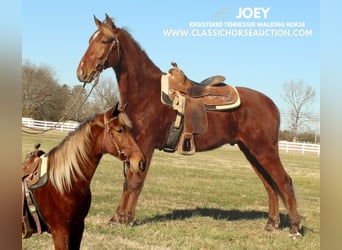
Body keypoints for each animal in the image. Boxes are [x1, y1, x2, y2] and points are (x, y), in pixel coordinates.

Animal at [77, 14, 302, 237]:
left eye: (104, 41)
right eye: (89, 40)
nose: (82, 72)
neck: (145, 93)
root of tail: (271, 104)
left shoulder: (145, 144)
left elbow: (134, 181)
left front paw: (121, 219)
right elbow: (132, 179)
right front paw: (121, 218)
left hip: (264, 150)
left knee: (284, 182)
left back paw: (294, 228)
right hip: (250, 151)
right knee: (270, 185)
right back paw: (271, 224)